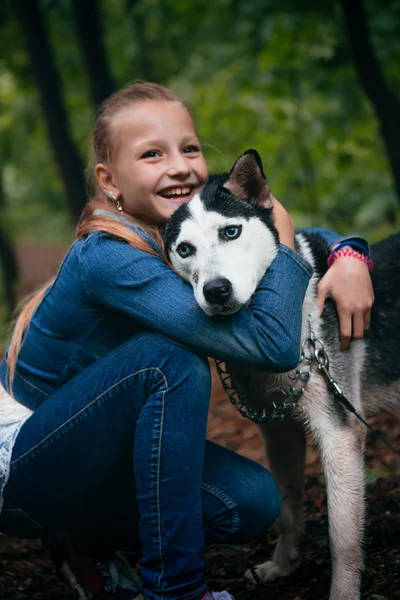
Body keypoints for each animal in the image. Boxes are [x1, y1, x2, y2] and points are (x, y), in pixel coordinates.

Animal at [162, 151, 400, 600]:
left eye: (231, 231)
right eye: (184, 249)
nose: (216, 290)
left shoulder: (339, 433)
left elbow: (342, 538)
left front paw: (342, 593)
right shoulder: (278, 432)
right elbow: (288, 505)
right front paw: (284, 565)